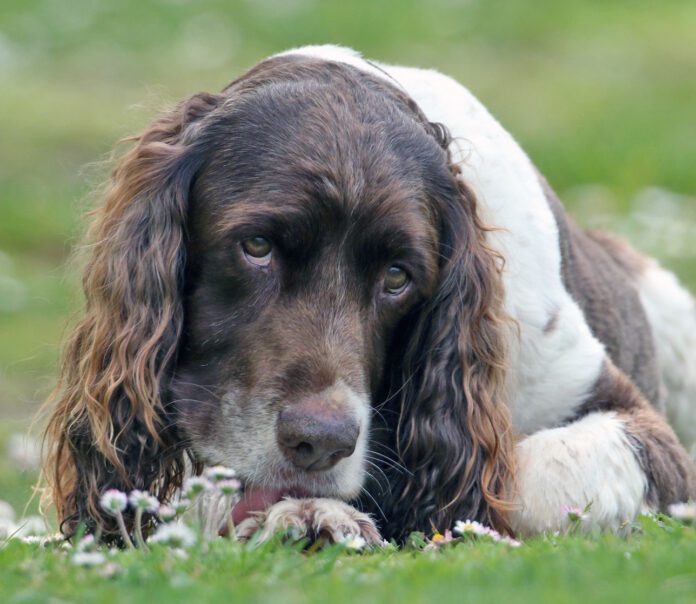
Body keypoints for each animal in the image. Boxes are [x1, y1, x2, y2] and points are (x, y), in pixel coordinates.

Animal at [43, 42, 696, 544]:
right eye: (256, 245)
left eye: (398, 277)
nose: (320, 442)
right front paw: (313, 511)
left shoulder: (632, 421)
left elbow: (526, 478)